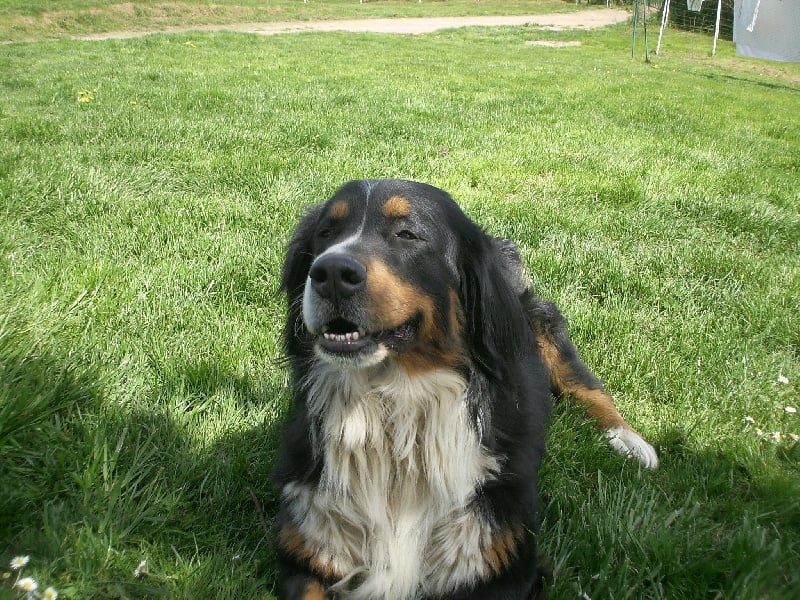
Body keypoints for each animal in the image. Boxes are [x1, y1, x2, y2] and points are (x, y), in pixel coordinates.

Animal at [276, 179, 656, 600]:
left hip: (540, 327)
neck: (393, 400)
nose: (329, 271)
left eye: (407, 233)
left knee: (585, 386)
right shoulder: (310, 547)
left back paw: (629, 441)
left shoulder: (500, 560)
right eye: (326, 232)